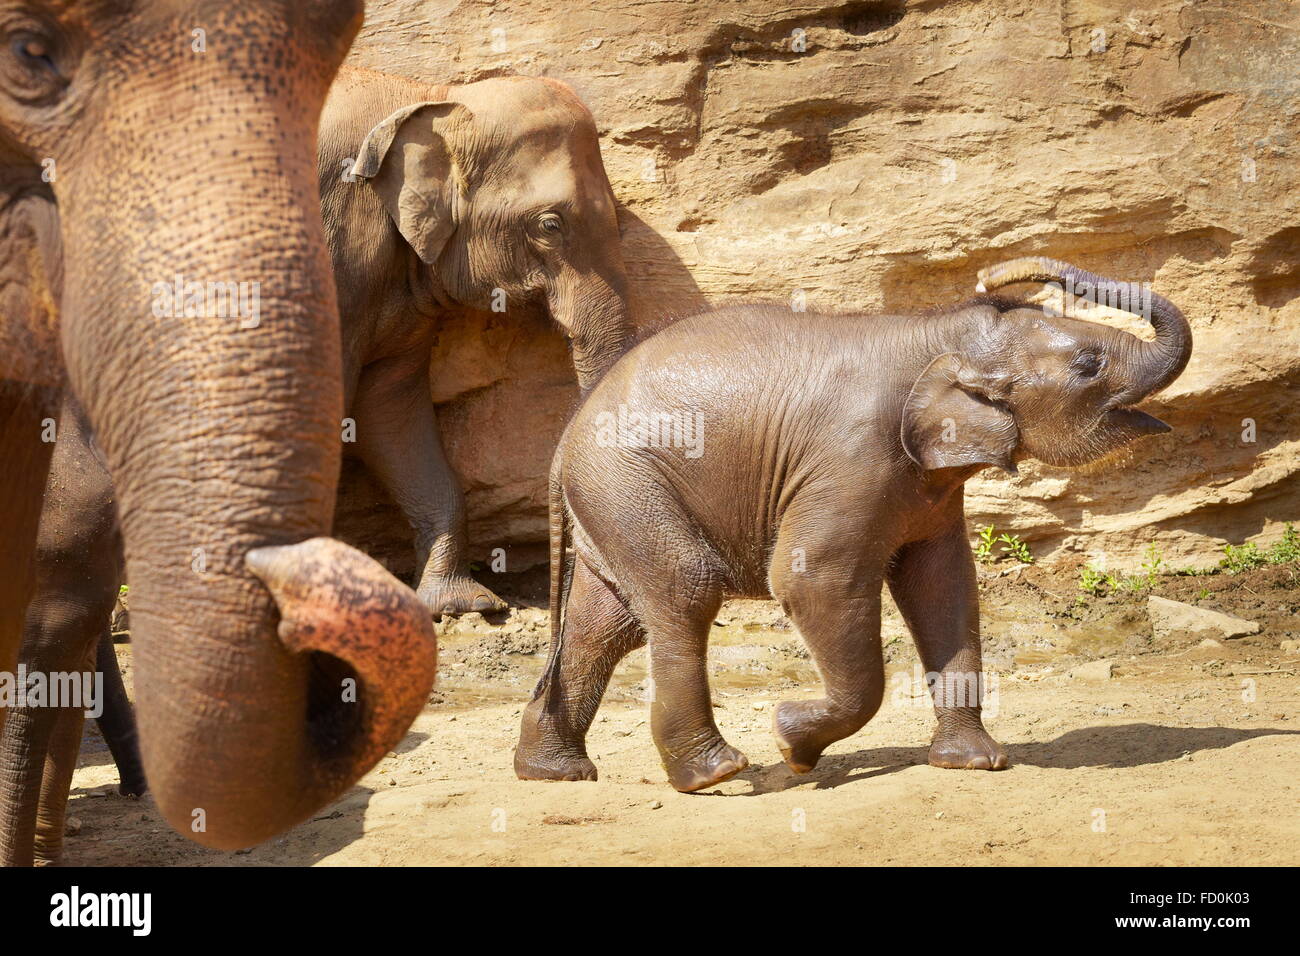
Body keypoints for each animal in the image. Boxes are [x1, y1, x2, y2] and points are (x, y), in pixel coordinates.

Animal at [514, 257, 1190, 790]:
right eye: (1089, 364)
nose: (996, 274)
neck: (934, 327)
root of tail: (566, 435)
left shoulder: (929, 484)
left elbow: (944, 586)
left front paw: (977, 764)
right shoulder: (853, 455)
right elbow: (812, 582)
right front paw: (792, 744)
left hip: (611, 501)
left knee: (605, 626)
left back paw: (554, 773)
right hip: (627, 483)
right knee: (684, 591)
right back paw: (716, 774)